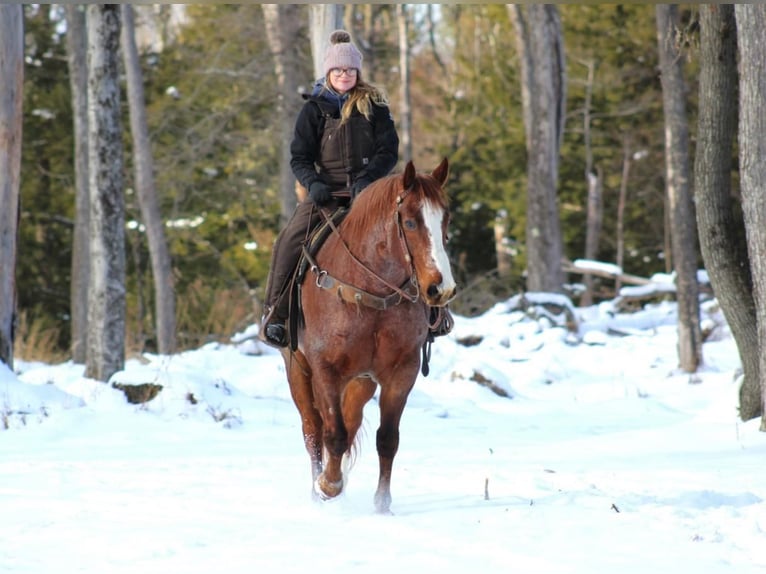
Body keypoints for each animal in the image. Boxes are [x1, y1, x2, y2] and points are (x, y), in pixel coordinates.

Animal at [284, 160, 460, 516]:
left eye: (445, 218)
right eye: (410, 221)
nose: (441, 288)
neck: (369, 290)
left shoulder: (401, 372)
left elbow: (387, 438)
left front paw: (382, 504)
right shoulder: (325, 370)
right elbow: (333, 434)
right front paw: (328, 486)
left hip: (361, 381)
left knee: (348, 424)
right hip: (298, 369)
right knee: (313, 430)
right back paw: (317, 489)